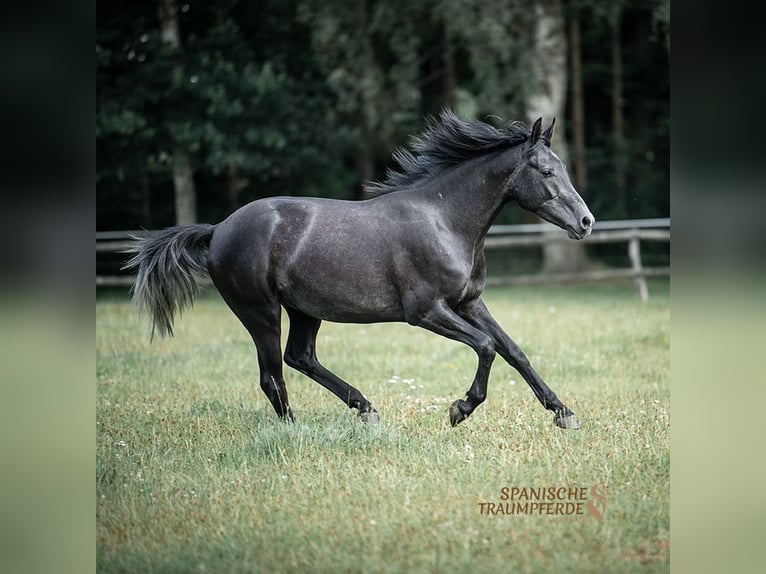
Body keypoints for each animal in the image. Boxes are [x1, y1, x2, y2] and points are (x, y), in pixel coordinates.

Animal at [126, 110, 596, 430]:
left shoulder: (469, 302)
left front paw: (564, 413)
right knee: (272, 374)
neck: (444, 220)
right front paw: (459, 410)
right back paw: (296, 430)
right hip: (260, 312)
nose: (586, 222)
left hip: (304, 311)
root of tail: (218, 229)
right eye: (546, 170)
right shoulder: (425, 311)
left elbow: (513, 351)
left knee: (300, 358)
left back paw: (365, 409)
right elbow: (486, 347)